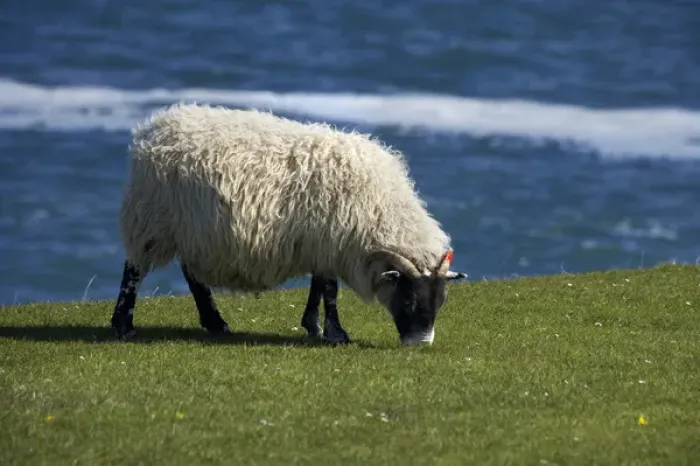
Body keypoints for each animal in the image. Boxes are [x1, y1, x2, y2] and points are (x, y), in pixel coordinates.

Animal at [111, 103, 467, 345]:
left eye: (442, 301)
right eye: (408, 300)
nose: (421, 344)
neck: (381, 209)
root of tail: (154, 128)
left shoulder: (322, 245)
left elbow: (318, 286)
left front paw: (313, 326)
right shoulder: (330, 241)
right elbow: (330, 290)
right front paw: (336, 334)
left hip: (193, 230)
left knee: (192, 275)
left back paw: (215, 322)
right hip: (151, 219)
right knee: (134, 271)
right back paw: (123, 325)